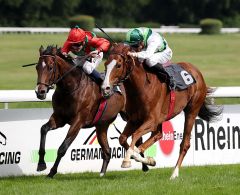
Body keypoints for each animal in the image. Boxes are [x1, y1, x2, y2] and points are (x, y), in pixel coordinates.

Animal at [34, 45, 131, 178]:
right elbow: (43, 129)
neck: (70, 88)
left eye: (50, 67)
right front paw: (41, 164)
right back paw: (102, 173)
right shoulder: (59, 117)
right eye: (37, 67)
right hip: (102, 125)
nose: (40, 92)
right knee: (108, 151)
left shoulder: (78, 121)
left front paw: (52, 171)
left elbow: (63, 148)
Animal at [100, 43, 222, 180]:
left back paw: (174, 173)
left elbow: (135, 135)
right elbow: (122, 138)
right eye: (106, 64)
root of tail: (196, 71)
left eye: (118, 65)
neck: (142, 87)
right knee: (158, 134)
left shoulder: (151, 120)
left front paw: (128, 160)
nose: (105, 88)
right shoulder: (134, 120)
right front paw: (147, 159)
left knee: (184, 143)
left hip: (192, 110)